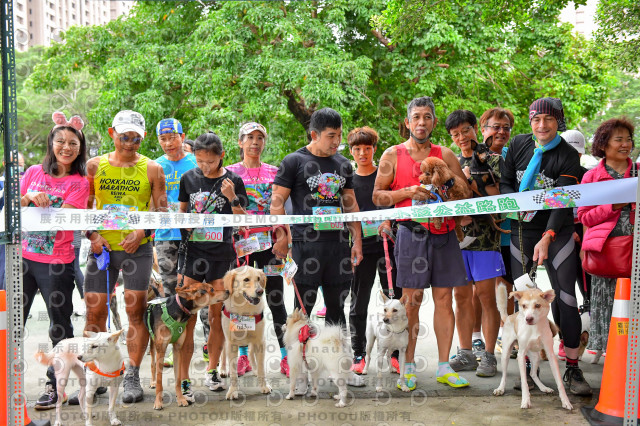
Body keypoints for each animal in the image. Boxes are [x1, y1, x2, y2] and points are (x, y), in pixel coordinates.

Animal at [492, 284, 572, 412]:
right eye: (524, 306)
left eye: (538, 305)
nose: (528, 319)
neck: (535, 327)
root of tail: (509, 317)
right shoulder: (521, 355)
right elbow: (524, 382)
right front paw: (525, 400)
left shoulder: (550, 354)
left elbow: (559, 382)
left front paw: (565, 401)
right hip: (506, 354)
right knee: (504, 374)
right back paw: (500, 389)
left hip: (535, 357)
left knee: (533, 373)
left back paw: (544, 387)